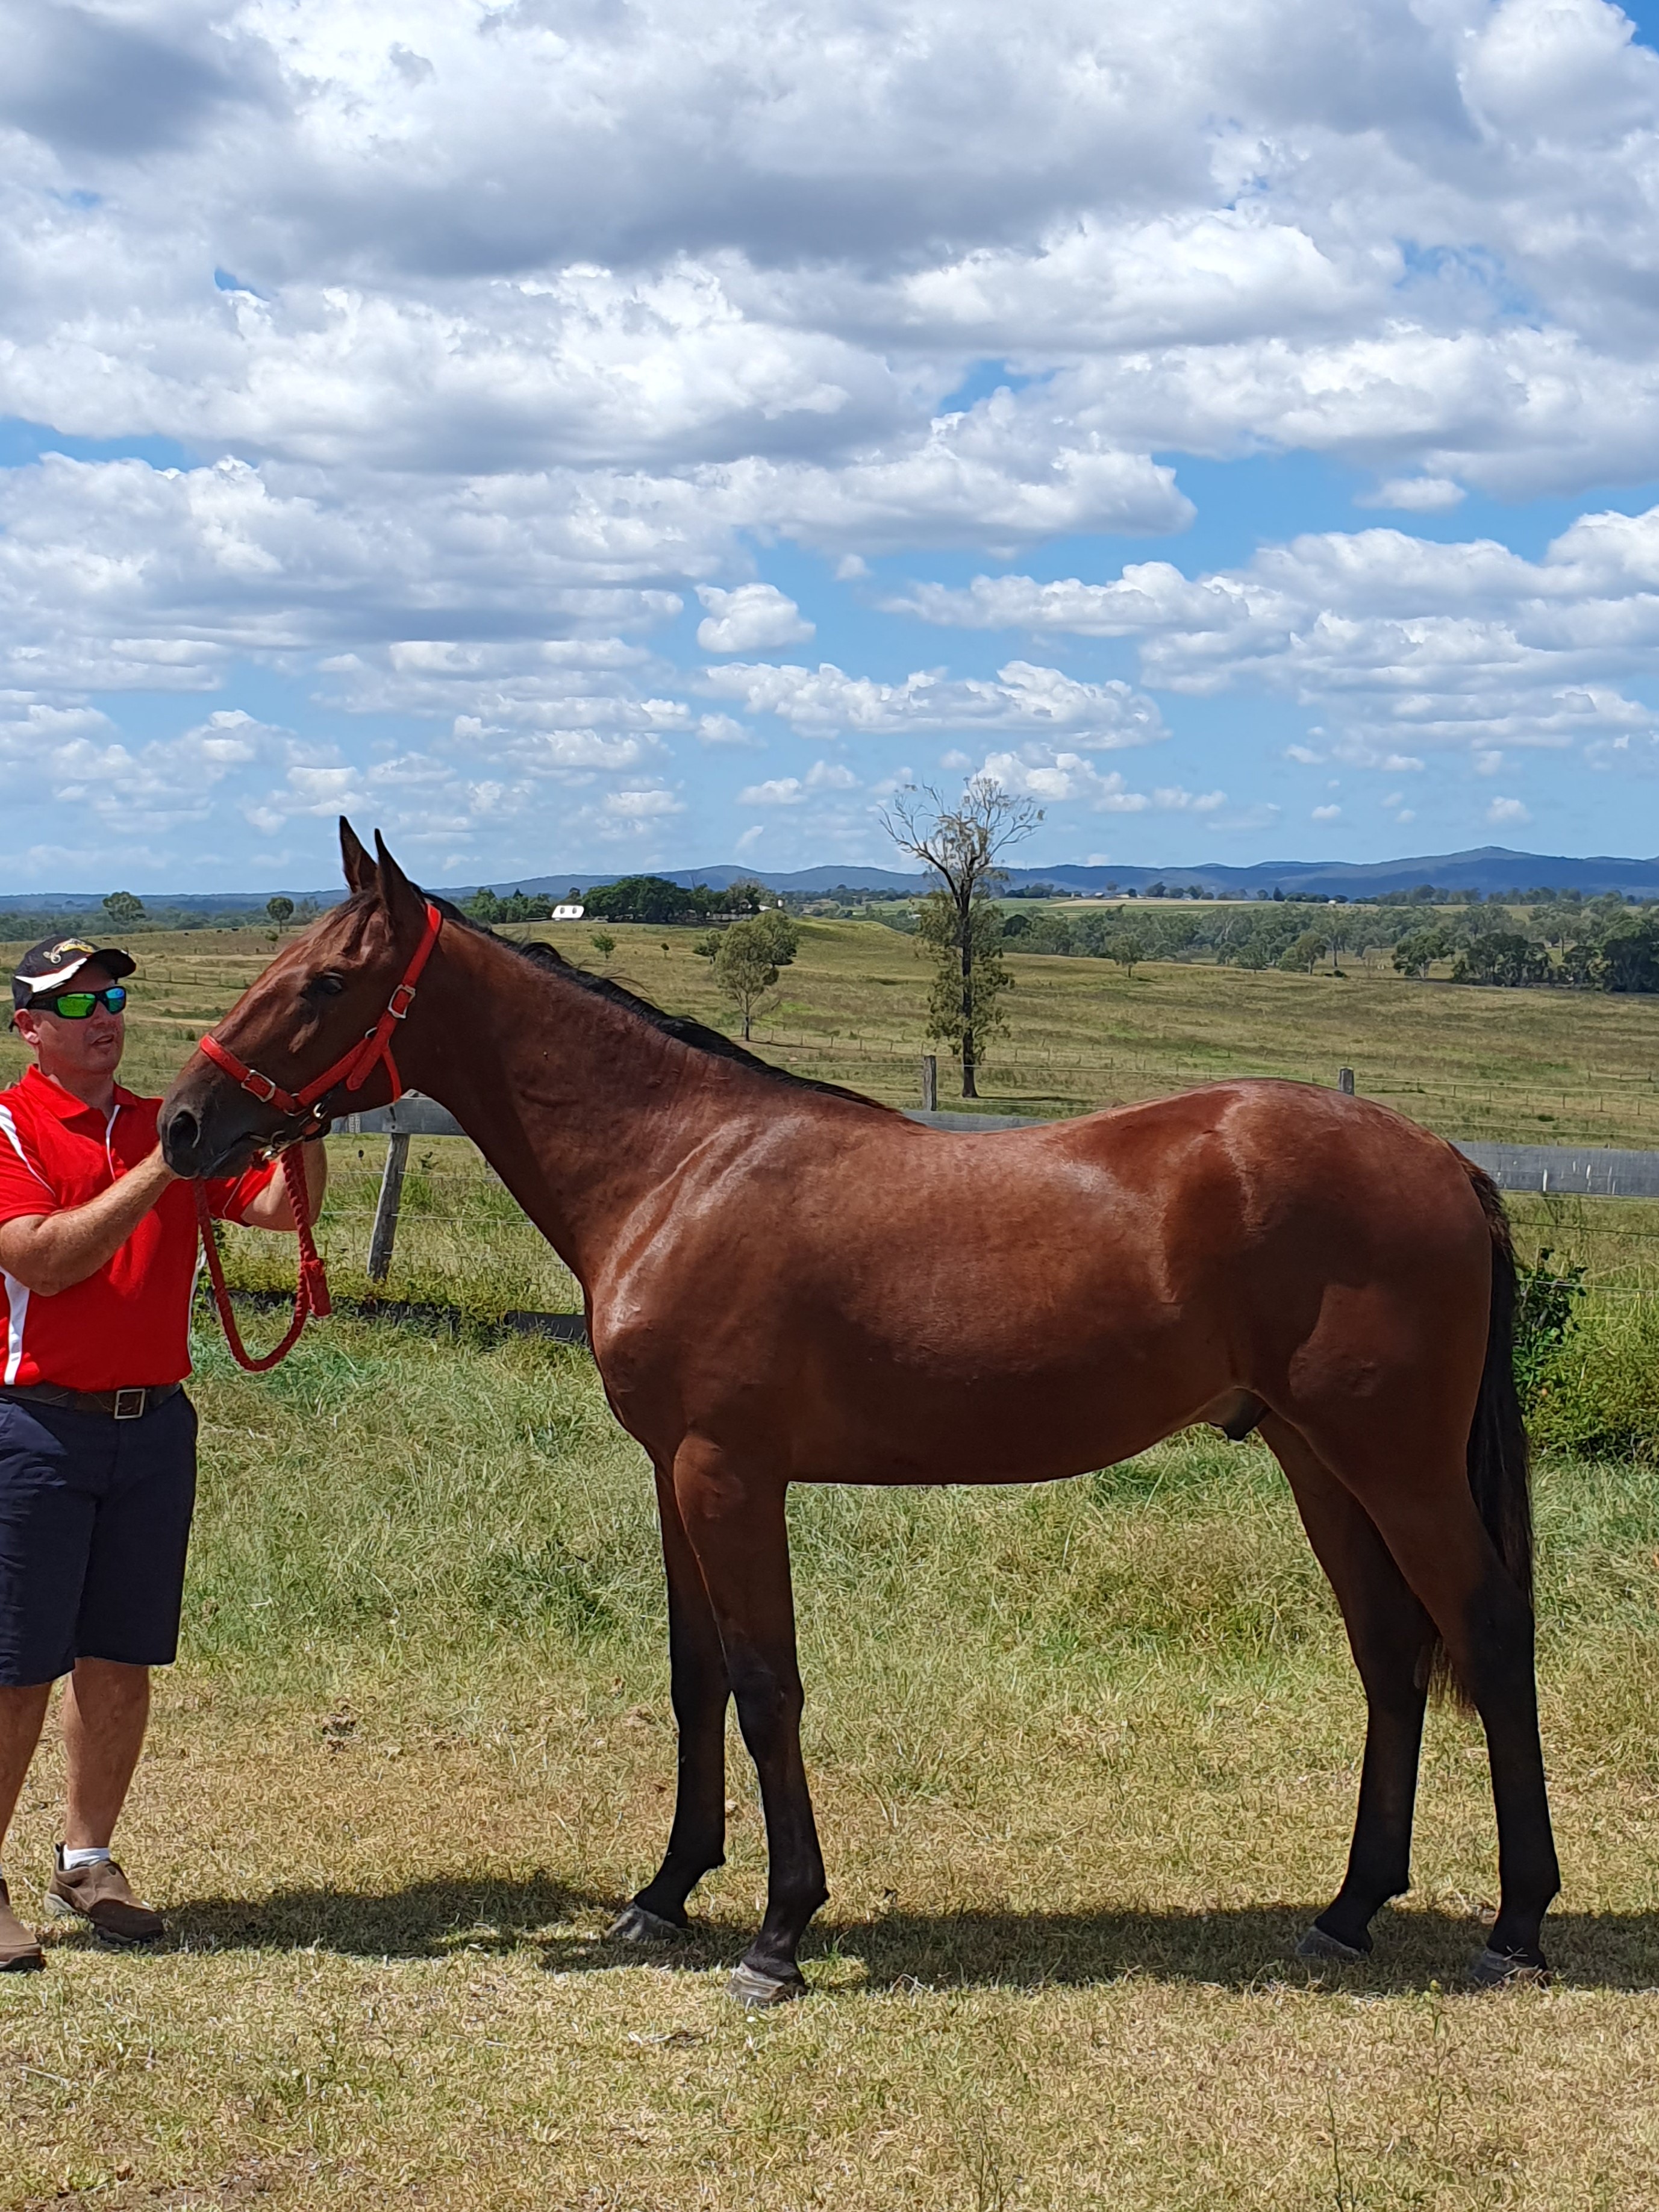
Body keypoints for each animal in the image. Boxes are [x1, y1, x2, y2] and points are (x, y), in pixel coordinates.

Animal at [158, 823, 1559, 2005]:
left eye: (325, 982)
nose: (181, 1125)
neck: (677, 1169)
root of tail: (1446, 1162)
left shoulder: (729, 1473)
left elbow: (765, 1686)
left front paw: (780, 1933)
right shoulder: (671, 1475)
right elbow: (695, 1679)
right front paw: (666, 1892)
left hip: (1397, 1465)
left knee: (1486, 1634)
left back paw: (1516, 1926)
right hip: (1320, 1462)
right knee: (1390, 1653)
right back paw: (1348, 1909)